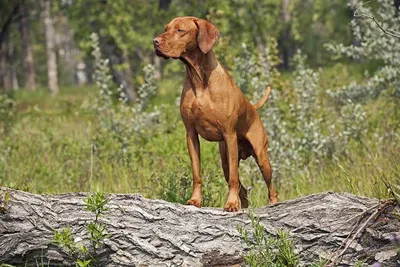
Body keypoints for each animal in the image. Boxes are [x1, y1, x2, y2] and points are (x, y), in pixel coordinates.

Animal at [153, 17, 278, 214]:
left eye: (180, 30)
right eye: (166, 28)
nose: (155, 42)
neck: (200, 80)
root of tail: (253, 108)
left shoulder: (229, 134)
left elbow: (234, 180)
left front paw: (231, 204)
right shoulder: (191, 134)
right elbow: (197, 174)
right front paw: (195, 200)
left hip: (261, 157)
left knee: (270, 188)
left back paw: (271, 204)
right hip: (225, 160)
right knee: (243, 189)